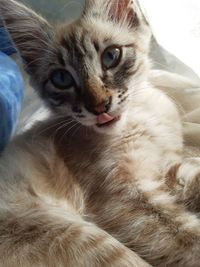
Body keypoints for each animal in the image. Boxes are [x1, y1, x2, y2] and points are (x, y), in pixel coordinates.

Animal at [1, 0, 200, 266]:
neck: (137, 119)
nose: (99, 107)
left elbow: (193, 176)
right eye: (61, 78)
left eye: (111, 56)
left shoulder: (165, 167)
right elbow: (187, 237)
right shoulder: (125, 199)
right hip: (84, 237)